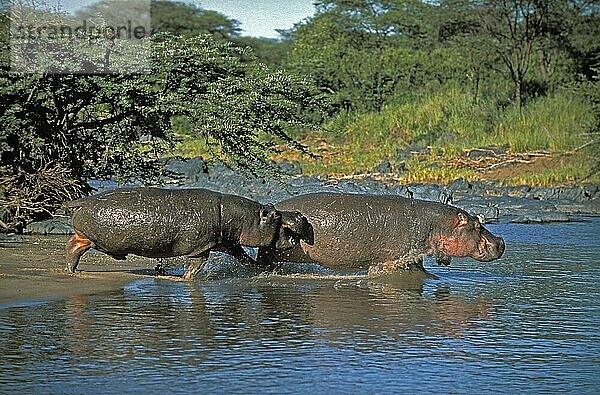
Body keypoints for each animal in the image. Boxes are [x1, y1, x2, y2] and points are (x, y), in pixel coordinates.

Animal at [66, 188, 310, 278]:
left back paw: (72, 271)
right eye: (275, 214)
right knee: (75, 247)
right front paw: (186, 278)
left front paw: (266, 267)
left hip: (87, 236)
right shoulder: (200, 247)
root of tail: (82, 201)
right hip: (92, 239)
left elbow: (244, 259)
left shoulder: (228, 243)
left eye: (273, 207)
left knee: (73, 246)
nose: (299, 214)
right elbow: (196, 265)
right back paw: (72, 271)